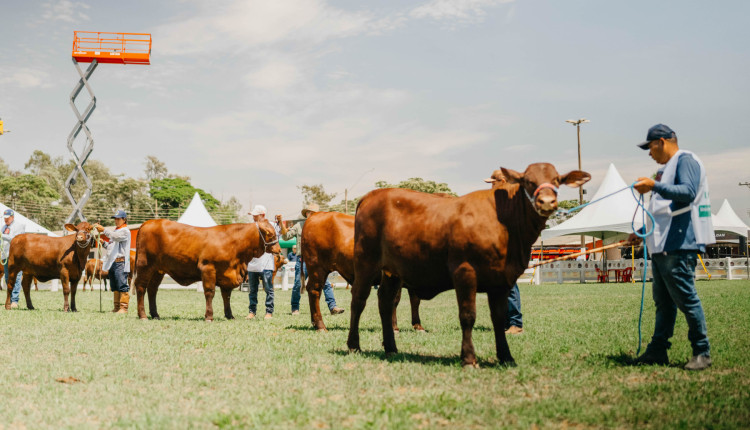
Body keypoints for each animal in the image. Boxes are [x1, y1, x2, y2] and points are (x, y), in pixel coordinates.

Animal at [134, 220, 280, 320]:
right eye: (271, 234)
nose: (278, 249)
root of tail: (148, 222)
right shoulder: (208, 269)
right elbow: (210, 292)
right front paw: (209, 316)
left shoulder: (226, 275)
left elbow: (226, 296)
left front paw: (229, 315)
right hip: (145, 265)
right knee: (141, 287)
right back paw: (143, 315)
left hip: (158, 270)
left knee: (152, 290)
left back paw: (155, 315)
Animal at [350, 164, 592, 366]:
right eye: (528, 181)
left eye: (557, 180)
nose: (547, 201)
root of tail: (371, 195)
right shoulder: (465, 273)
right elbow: (468, 316)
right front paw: (468, 358)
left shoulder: (501, 281)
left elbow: (498, 318)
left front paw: (506, 356)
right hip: (365, 262)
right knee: (358, 301)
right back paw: (353, 345)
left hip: (393, 272)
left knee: (385, 302)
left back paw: (391, 347)